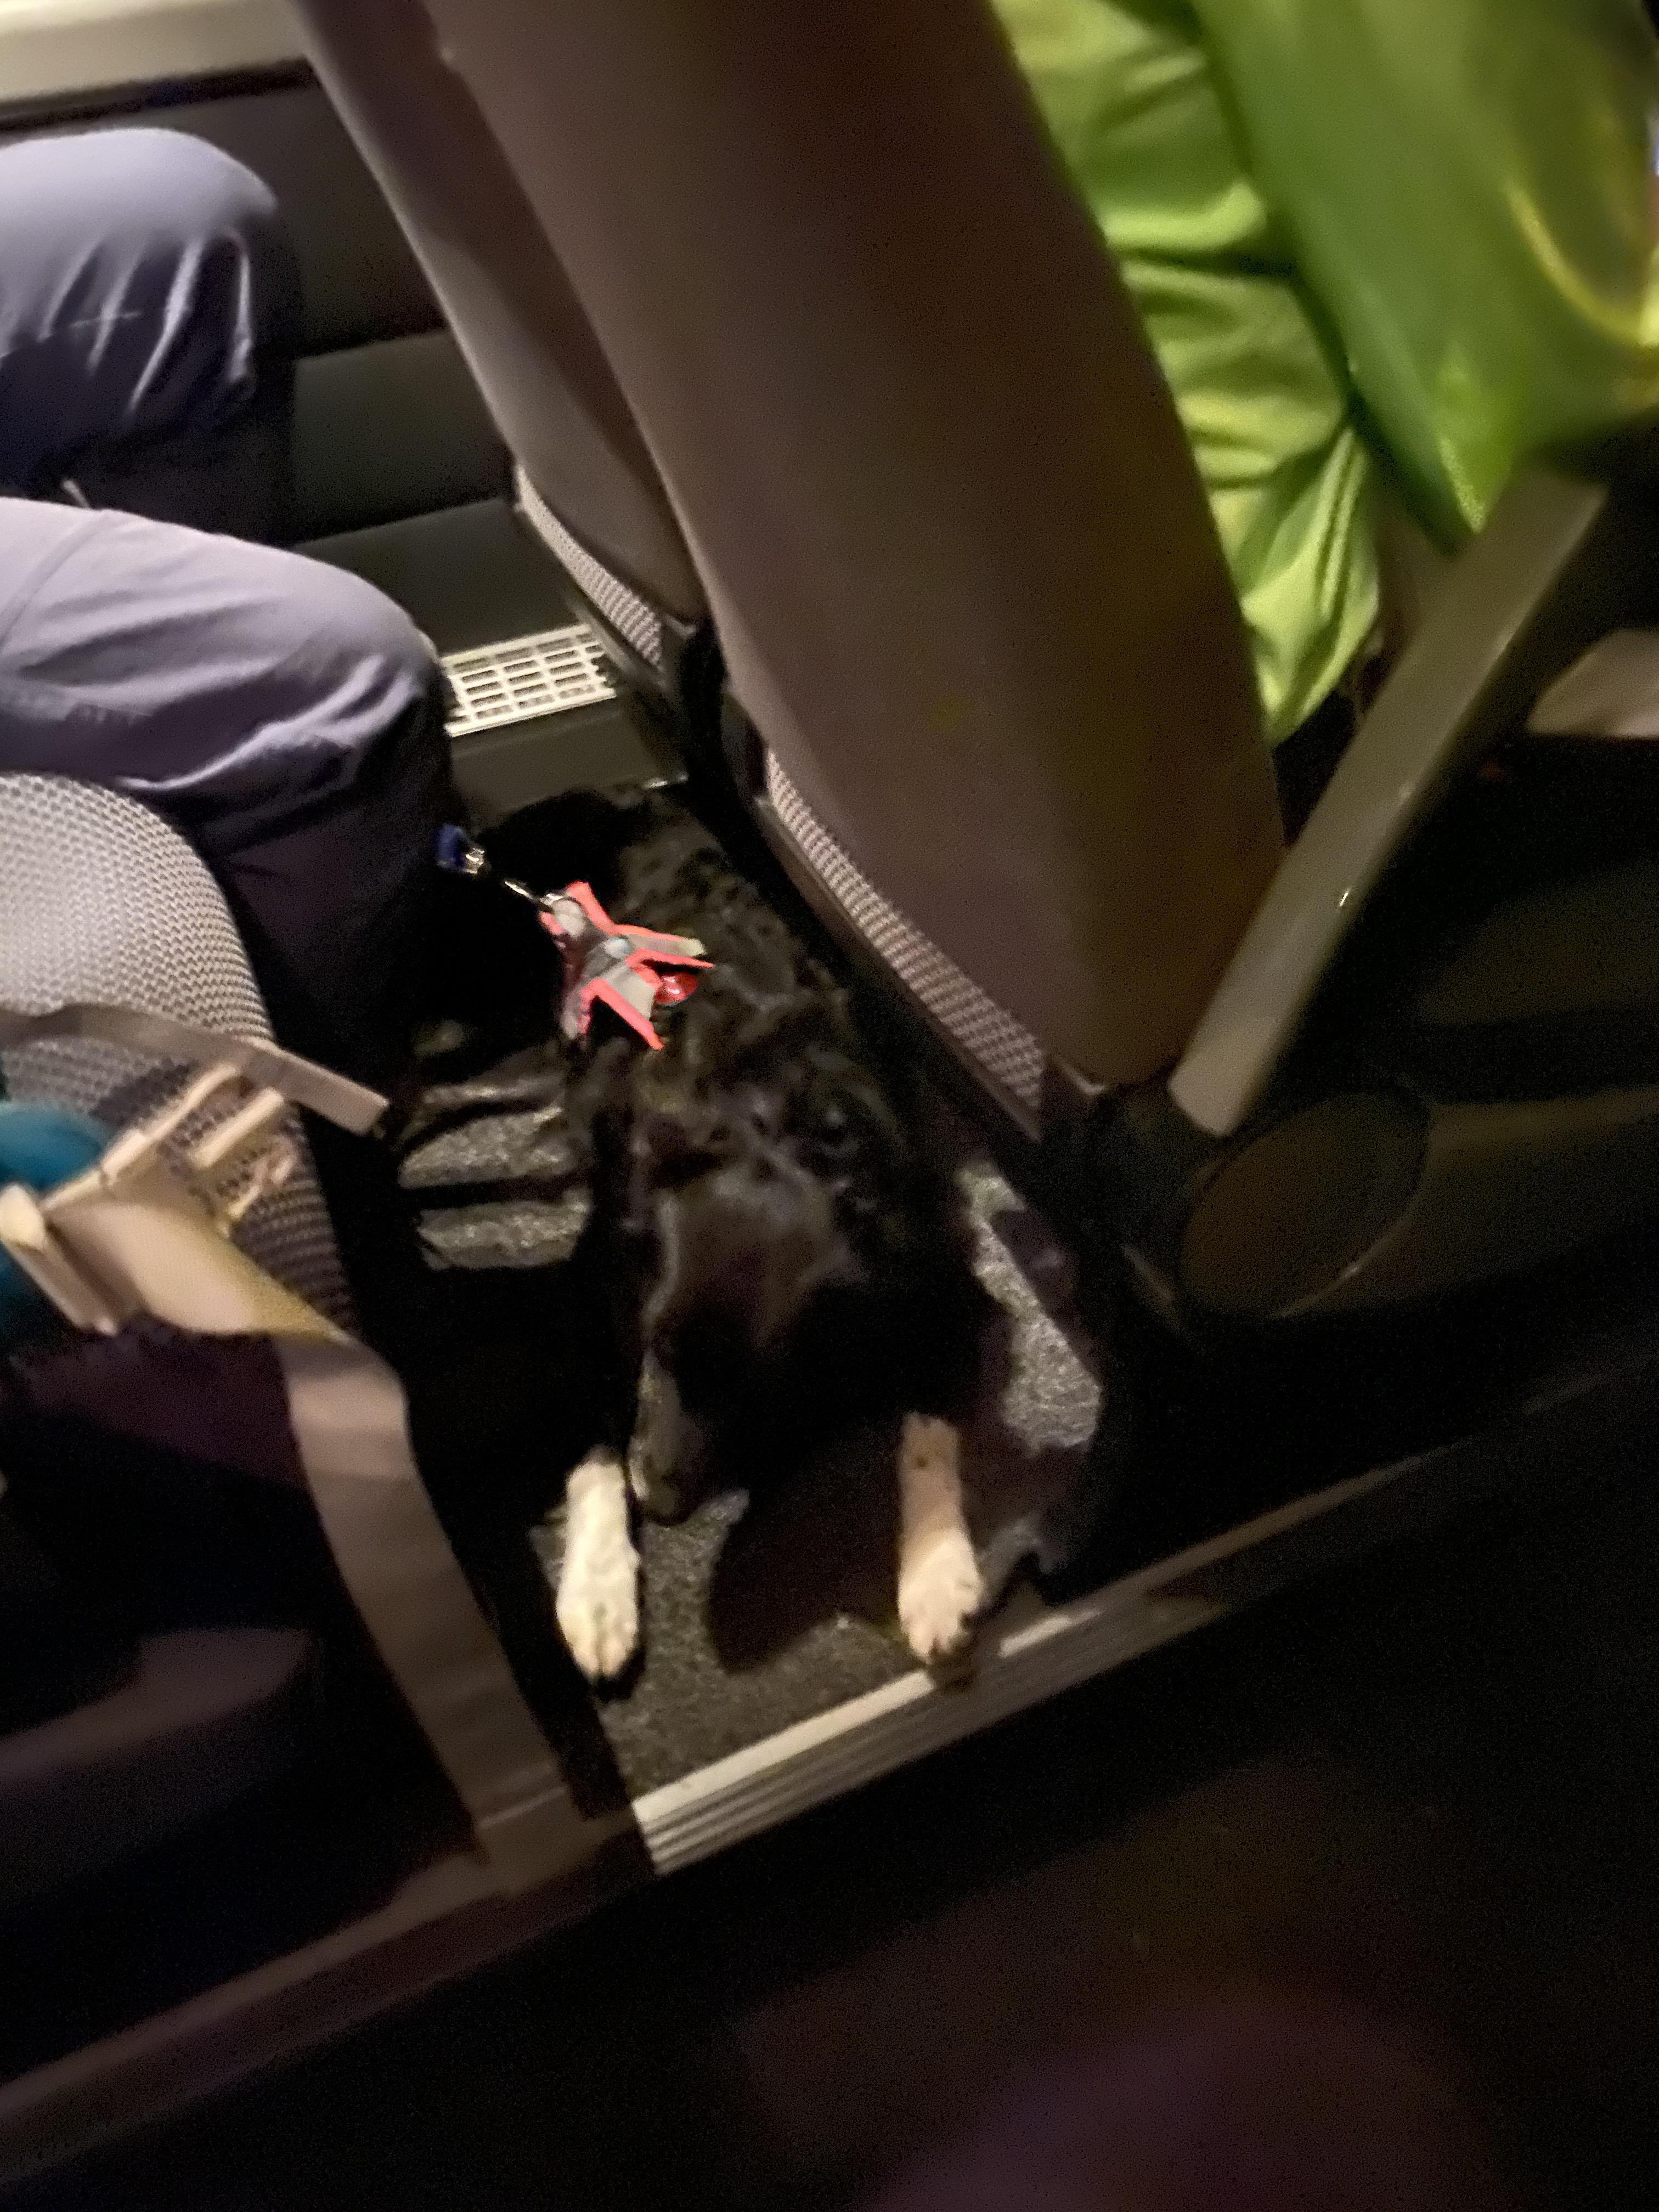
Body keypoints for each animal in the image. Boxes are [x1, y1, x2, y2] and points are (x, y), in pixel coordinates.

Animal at [490, 788, 991, 1685]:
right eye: (657, 1348)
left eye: (758, 1383)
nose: (660, 1502)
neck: (771, 1125)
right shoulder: (598, 1273)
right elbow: (594, 1432)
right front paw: (598, 1590)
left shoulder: (931, 1270)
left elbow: (928, 1428)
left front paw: (940, 1577)